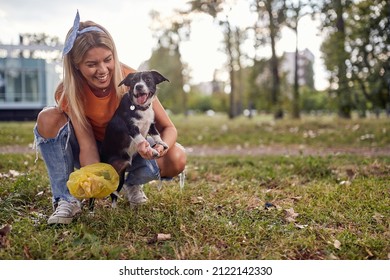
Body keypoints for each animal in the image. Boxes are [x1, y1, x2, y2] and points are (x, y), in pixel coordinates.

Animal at [91, 70, 171, 210]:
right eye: (133, 81)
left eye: (148, 79)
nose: (138, 86)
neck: (140, 107)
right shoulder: (132, 128)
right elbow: (143, 141)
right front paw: (152, 150)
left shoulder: (151, 124)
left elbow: (156, 134)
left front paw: (161, 143)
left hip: (120, 177)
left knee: (114, 194)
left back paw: (114, 210)